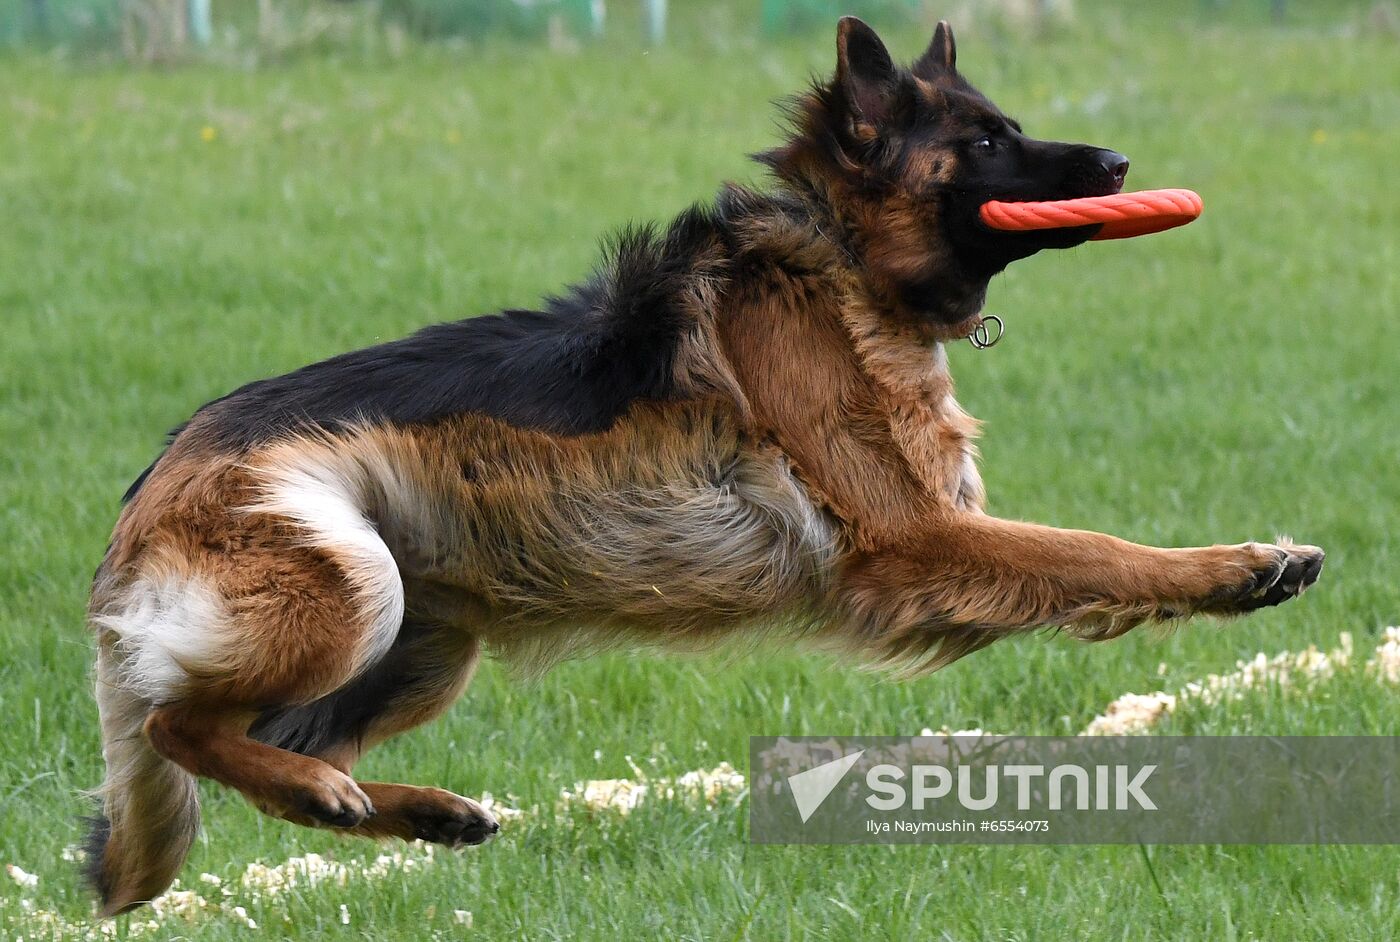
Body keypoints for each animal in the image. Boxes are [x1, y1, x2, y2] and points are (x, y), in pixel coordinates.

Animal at [87, 14, 1321, 912]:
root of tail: (154, 480)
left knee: (245, 749)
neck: (842, 264)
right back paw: (341, 792)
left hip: (422, 646)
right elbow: (1097, 552)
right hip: (355, 587)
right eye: (983, 142)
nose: (1118, 160)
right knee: (172, 725)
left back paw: (403, 809)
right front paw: (1237, 567)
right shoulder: (921, 542)